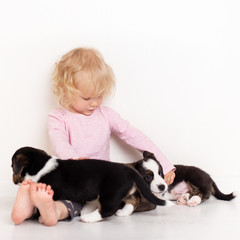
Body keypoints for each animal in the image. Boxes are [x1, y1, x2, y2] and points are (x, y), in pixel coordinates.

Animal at [11, 146, 172, 223]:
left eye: (12, 166)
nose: (13, 180)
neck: (40, 165)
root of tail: (130, 170)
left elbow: (39, 206)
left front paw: (38, 216)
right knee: (130, 201)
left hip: (109, 193)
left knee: (107, 210)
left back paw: (88, 218)